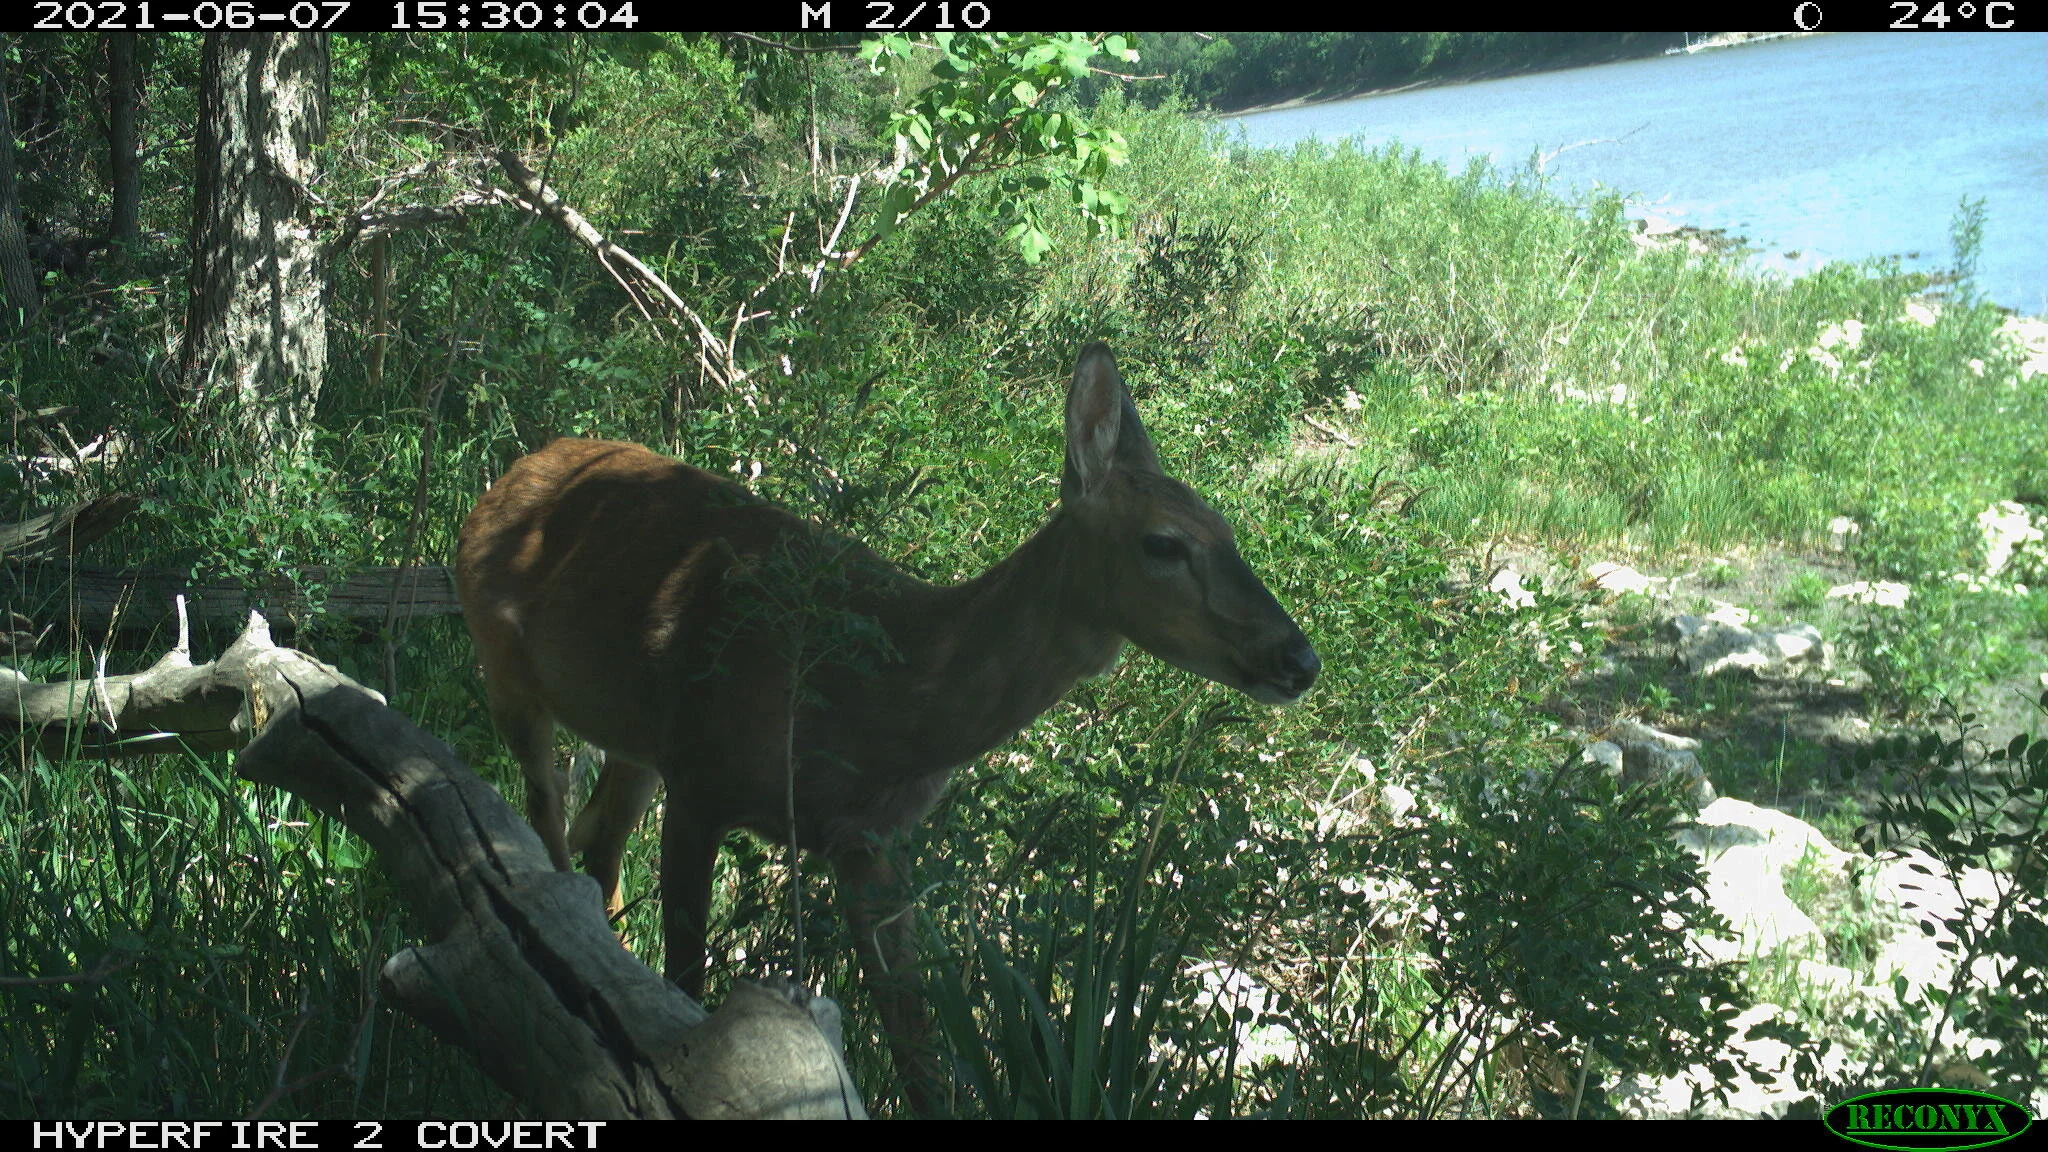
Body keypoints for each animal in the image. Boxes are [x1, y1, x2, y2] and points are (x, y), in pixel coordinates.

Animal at [454, 343, 1320, 1114]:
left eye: (1229, 531)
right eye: (1164, 543)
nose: (1299, 658)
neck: (877, 708)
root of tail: (518, 467)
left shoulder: (871, 845)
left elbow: (919, 1051)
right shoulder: (702, 778)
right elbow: (687, 984)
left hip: (633, 740)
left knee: (599, 843)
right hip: (504, 665)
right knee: (546, 829)